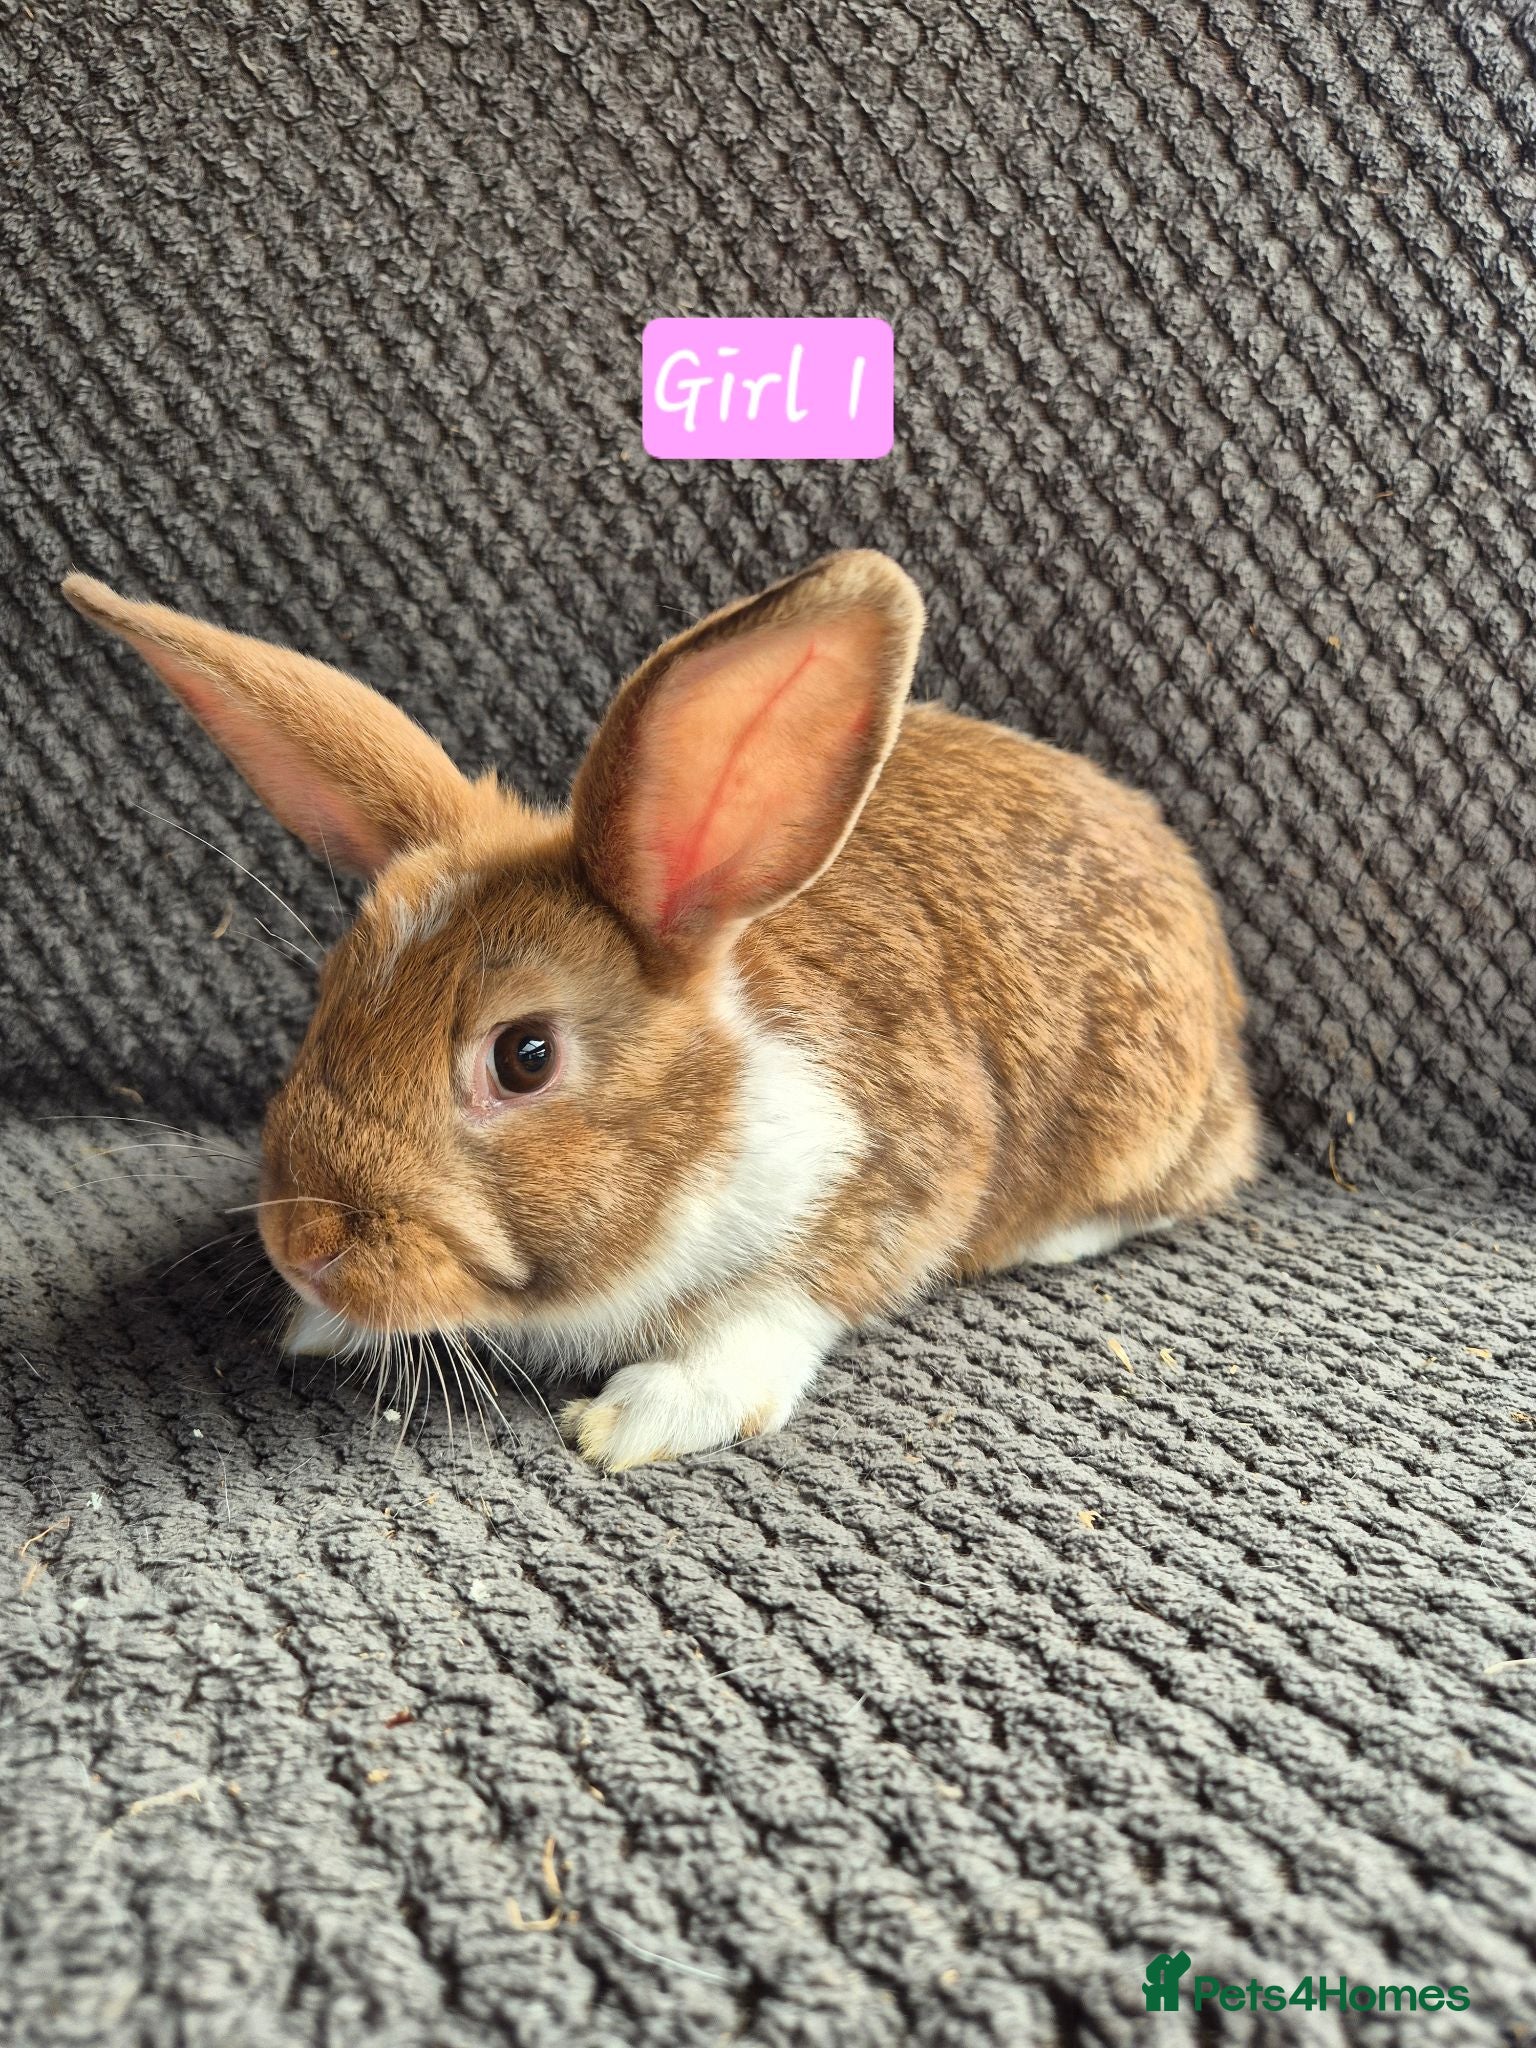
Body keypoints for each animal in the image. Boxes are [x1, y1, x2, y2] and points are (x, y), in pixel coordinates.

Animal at [63, 552, 1260, 1469]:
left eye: (525, 1055)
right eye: (331, 995)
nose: (302, 1242)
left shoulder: (871, 1190)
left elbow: (766, 1323)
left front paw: (634, 1420)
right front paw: (316, 1326)